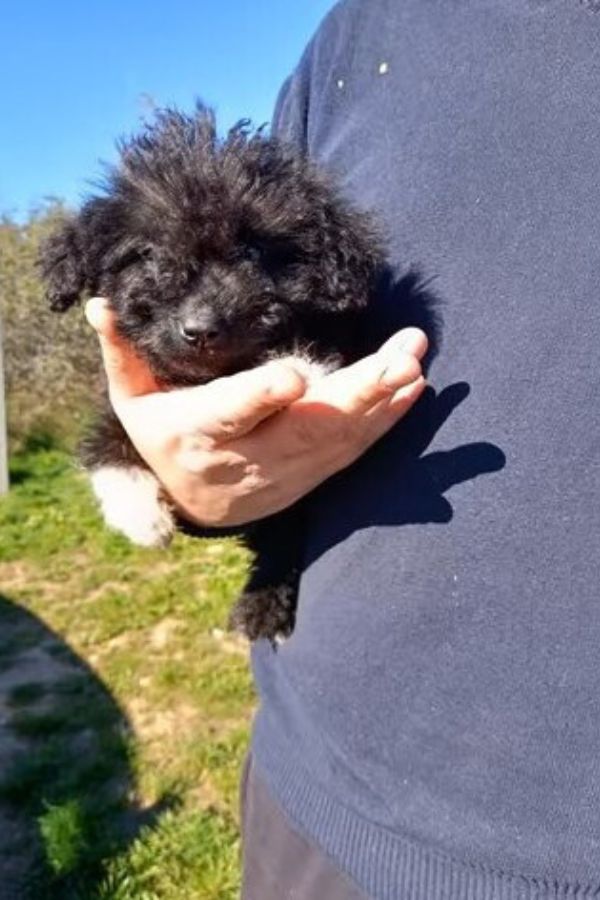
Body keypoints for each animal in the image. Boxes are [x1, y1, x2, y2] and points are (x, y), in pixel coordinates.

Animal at [39, 105, 382, 640]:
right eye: (147, 254)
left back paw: (261, 606)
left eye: (254, 253)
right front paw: (137, 511)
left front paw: (296, 366)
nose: (200, 330)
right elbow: (108, 434)